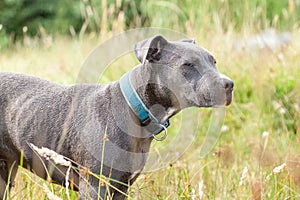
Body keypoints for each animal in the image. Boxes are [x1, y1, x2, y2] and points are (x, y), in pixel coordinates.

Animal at [0, 35, 234, 199]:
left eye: (214, 61)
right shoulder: (94, 187)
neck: (135, 109)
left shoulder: (122, 187)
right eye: (187, 65)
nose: (229, 84)